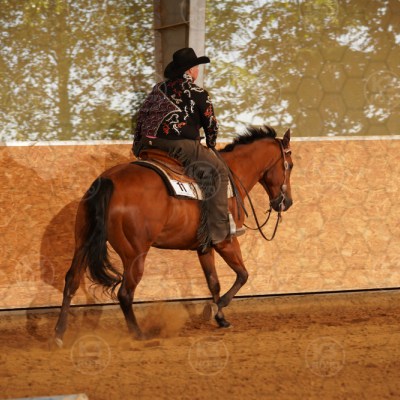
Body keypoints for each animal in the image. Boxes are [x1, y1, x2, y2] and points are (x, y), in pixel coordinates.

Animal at [54, 125, 293, 345]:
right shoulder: (227, 241)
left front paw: (221, 319)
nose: (287, 202)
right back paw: (139, 334)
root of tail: (108, 180)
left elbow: (213, 282)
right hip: (135, 254)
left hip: (83, 243)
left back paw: (59, 334)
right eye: (289, 165)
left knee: (72, 281)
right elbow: (243, 275)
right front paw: (214, 309)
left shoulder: (205, 247)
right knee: (124, 293)